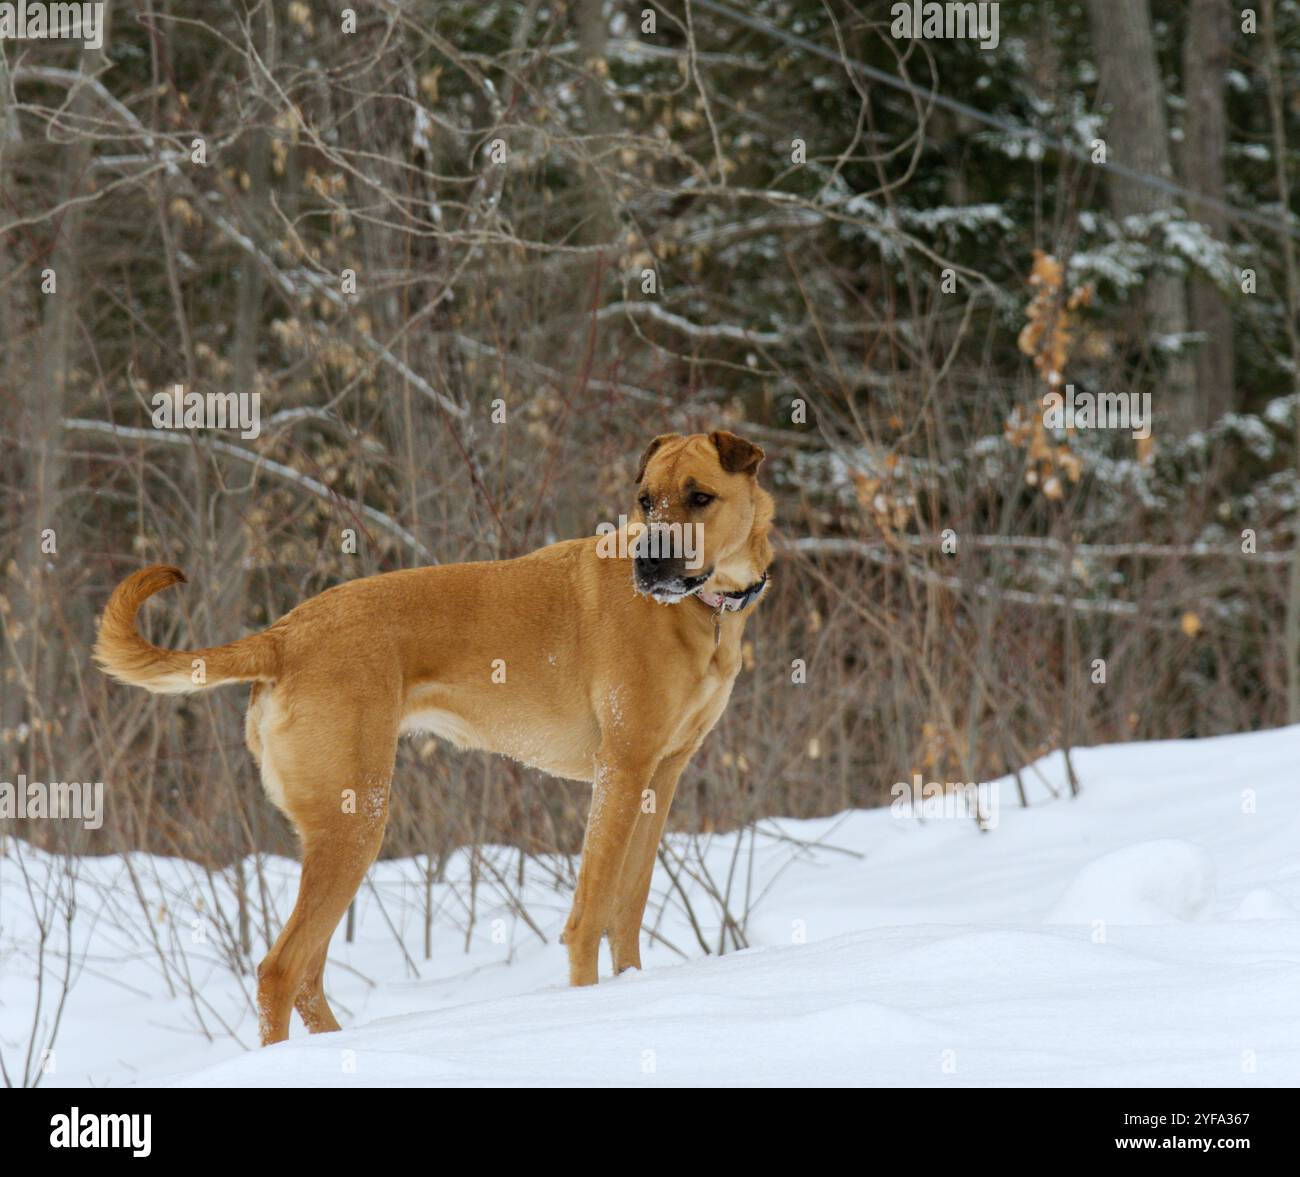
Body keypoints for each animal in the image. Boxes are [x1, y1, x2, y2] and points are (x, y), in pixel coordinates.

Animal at [101, 426, 774, 1040]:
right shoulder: (623, 768)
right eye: (644, 499)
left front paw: (632, 987)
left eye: (699, 497)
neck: (705, 612)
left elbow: (628, 909)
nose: (648, 565)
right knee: (279, 971)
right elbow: (590, 916)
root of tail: (285, 633)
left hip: (341, 830)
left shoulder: (661, 774)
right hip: (355, 821)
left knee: (307, 977)